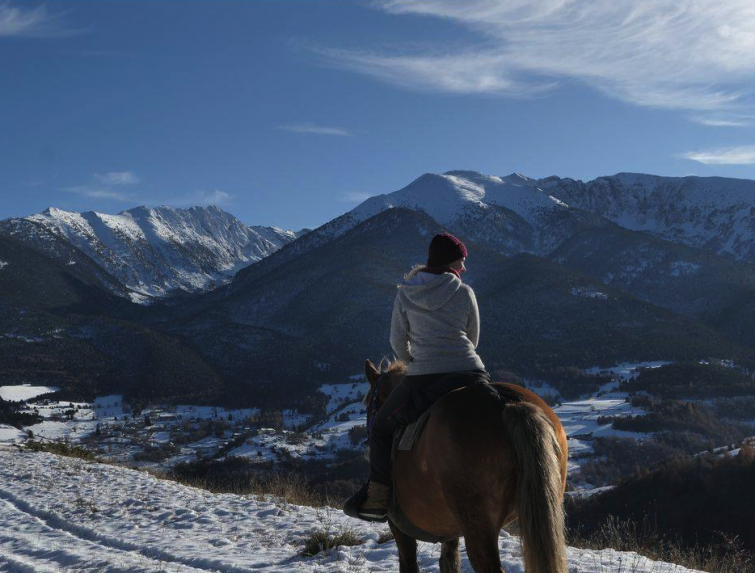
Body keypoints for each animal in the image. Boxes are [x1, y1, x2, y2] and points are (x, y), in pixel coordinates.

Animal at [364, 358, 568, 572]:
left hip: (477, 525)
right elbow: (449, 561)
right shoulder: (449, 530)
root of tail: (503, 400)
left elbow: (409, 563)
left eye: (369, 401)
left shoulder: (399, 527)